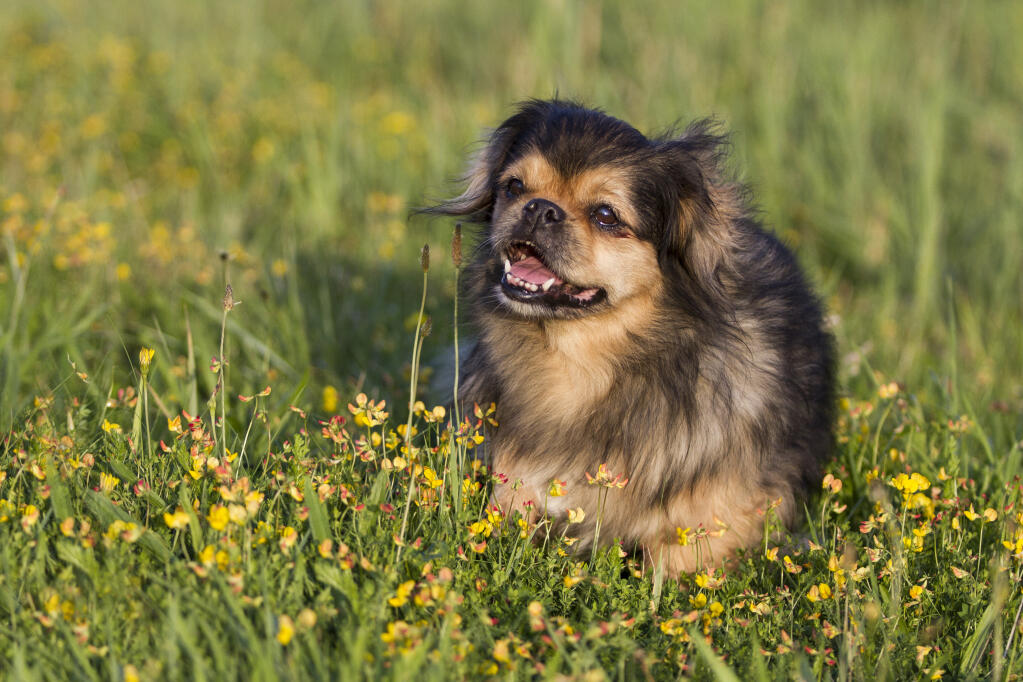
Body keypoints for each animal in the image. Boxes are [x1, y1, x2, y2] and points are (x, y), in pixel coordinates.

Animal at [427, 98, 834, 572]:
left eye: (606, 215)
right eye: (514, 187)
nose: (540, 208)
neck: (577, 365)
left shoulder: (728, 516)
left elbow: (675, 559)